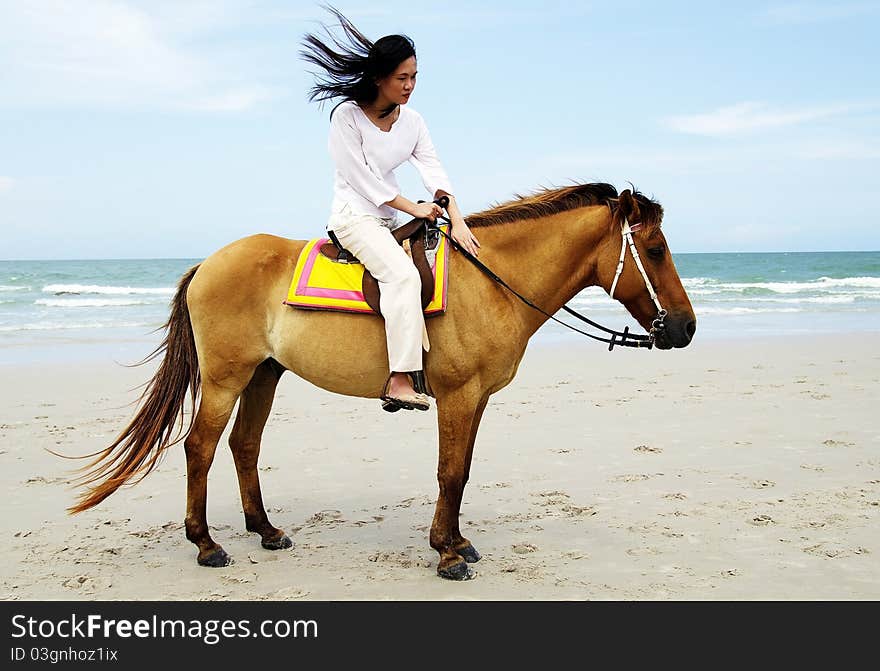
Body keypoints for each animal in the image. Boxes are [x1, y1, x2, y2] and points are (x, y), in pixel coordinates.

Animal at [69, 184, 696, 584]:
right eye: (656, 249)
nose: (687, 328)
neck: (491, 280)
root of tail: (208, 263)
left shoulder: (475, 401)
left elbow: (462, 472)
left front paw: (458, 542)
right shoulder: (458, 397)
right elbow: (450, 473)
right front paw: (446, 555)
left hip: (264, 376)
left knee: (244, 446)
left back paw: (266, 531)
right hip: (227, 377)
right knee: (200, 448)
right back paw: (205, 544)